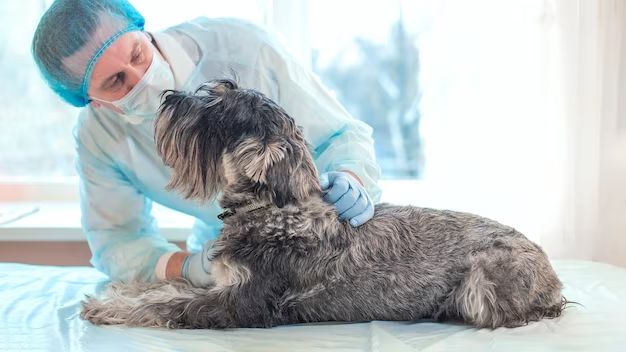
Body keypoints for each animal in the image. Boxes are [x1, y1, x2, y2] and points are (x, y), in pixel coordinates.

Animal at [80, 78, 564, 328]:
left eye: (218, 112)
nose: (169, 99)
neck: (274, 211)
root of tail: (552, 276)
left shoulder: (237, 304)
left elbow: (171, 306)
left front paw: (111, 307)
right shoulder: (220, 284)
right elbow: (172, 286)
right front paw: (124, 290)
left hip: (482, 284)